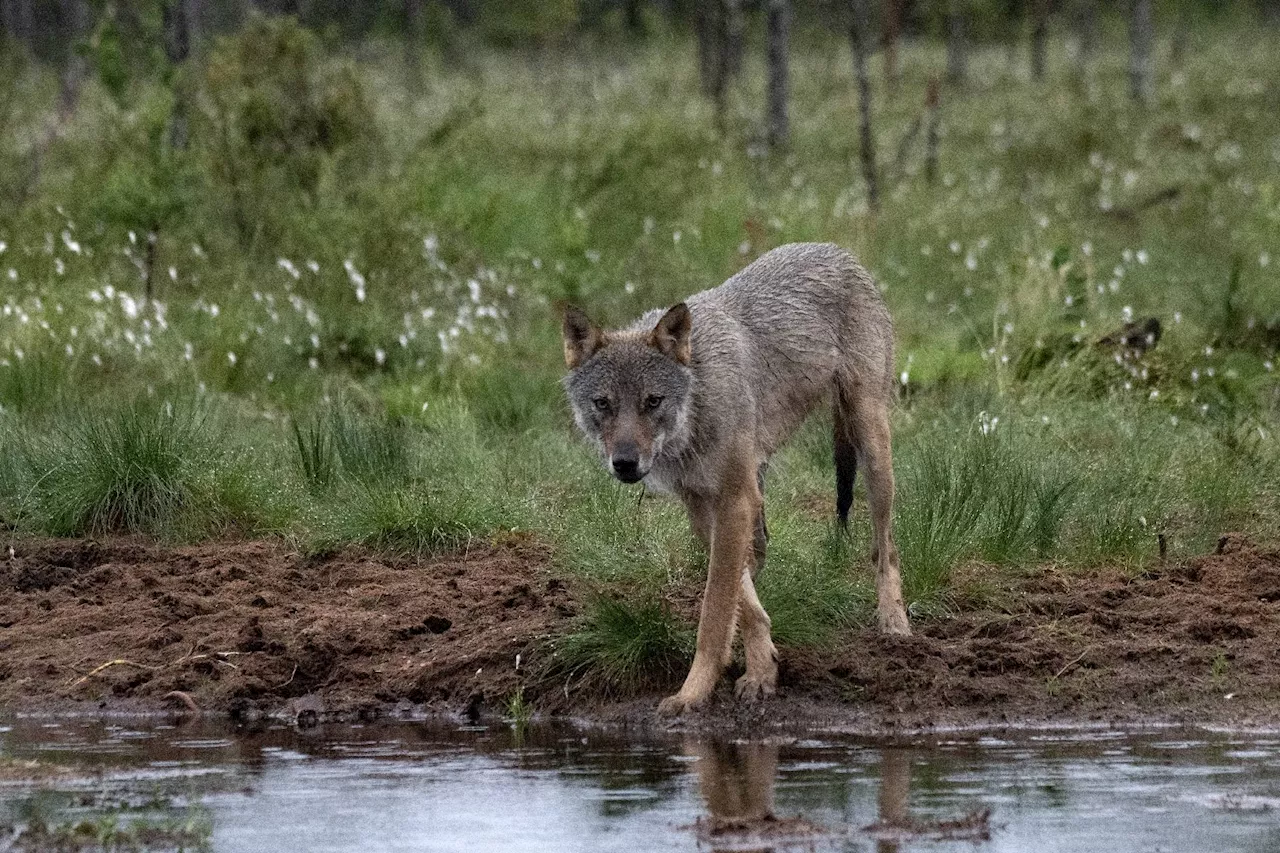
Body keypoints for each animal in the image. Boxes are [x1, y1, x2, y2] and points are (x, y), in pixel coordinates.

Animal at [560, 239, 911, 712]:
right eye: (603, 404)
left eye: (653, 401)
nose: (626, 463)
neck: (697, 406)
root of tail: (836, 249)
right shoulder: (704, 506)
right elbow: (741, 603)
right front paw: (762, 669)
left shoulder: (733, 500)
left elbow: (714, 614)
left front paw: (691, 693)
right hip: (763, 485)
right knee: (762, 552)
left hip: (871, 445)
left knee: (884, 547)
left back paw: (894, 622)